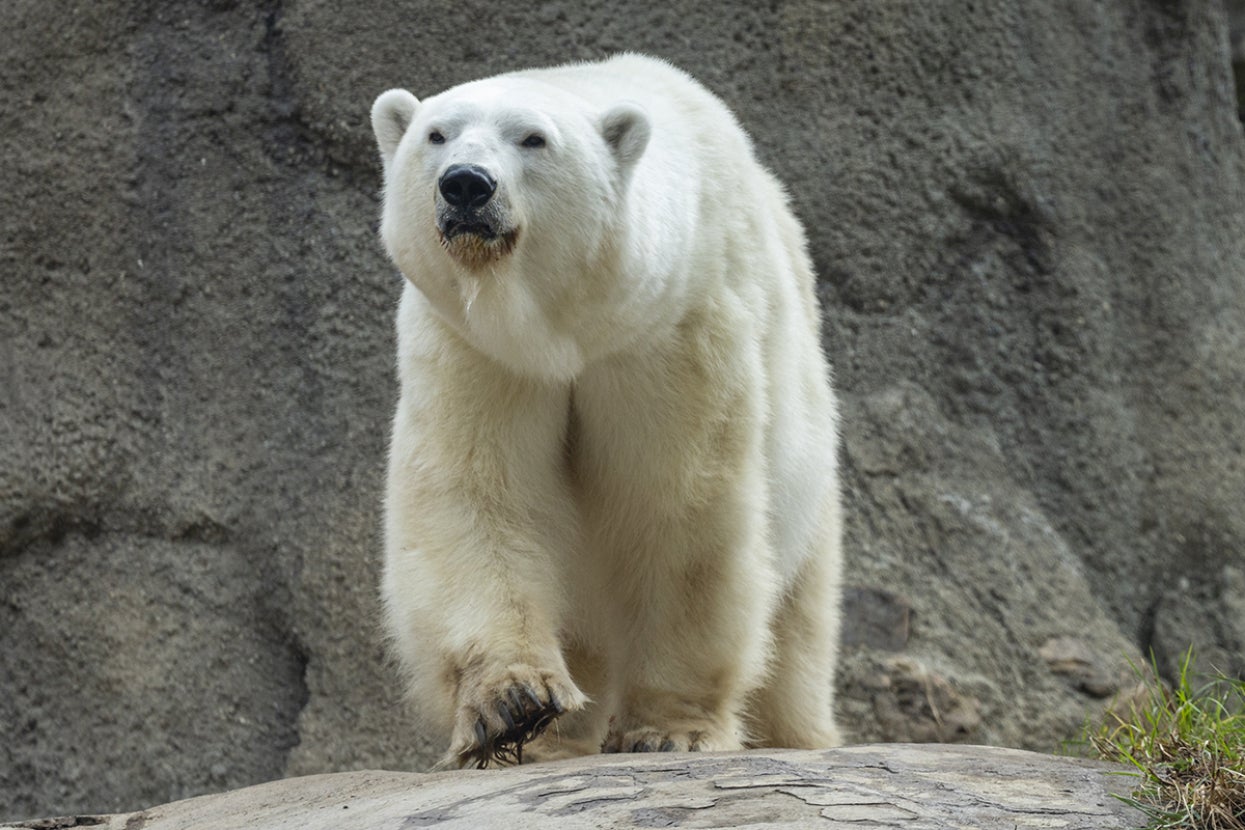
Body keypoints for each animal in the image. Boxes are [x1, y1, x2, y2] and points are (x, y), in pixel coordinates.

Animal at [371, 53, 843, 768]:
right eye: (437, 134)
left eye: (533, 138)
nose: (465, 185)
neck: (570, 328)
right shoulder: (475, 349)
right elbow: (479, 493)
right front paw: (512, 706)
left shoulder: (672, 333)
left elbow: (678, 510)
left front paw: (672, 729)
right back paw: (554, 740)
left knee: (800, 615)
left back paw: (802, 734)